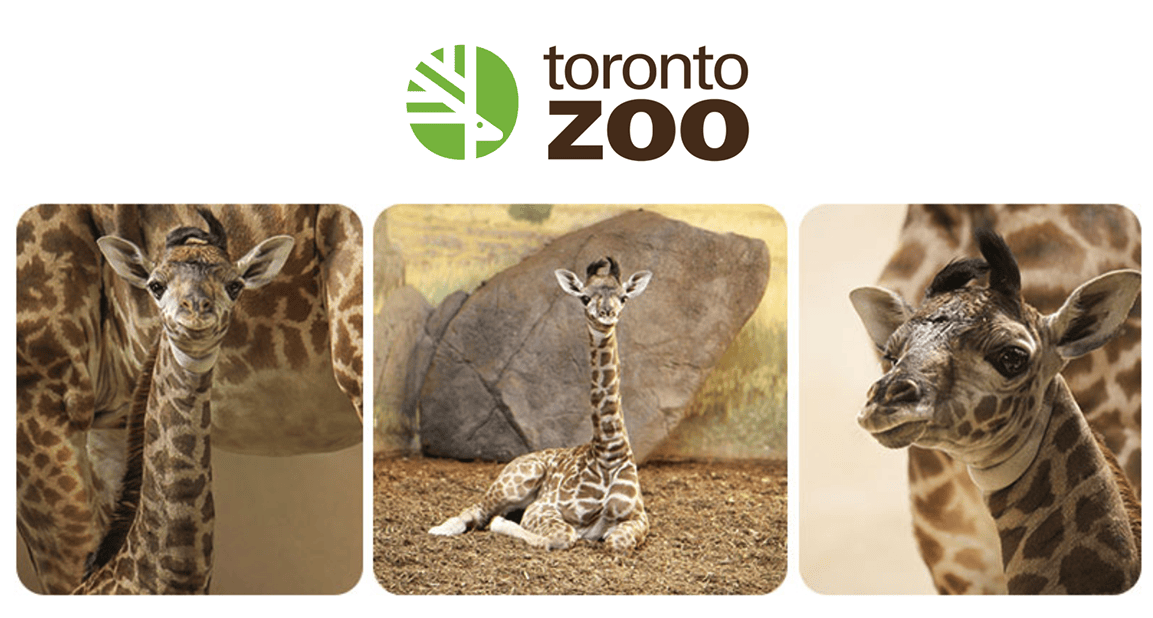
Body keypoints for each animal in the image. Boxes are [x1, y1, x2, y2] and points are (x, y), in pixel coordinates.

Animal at [428, 257, 651, 551]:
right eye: (584, 297)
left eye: (623, 296)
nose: (606, 314)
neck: (608, 453)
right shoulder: (543, 507)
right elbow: (562, 536)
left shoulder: (639, 517)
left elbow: (617, 540)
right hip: (517, 480)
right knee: (478, 510)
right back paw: (441, 529)